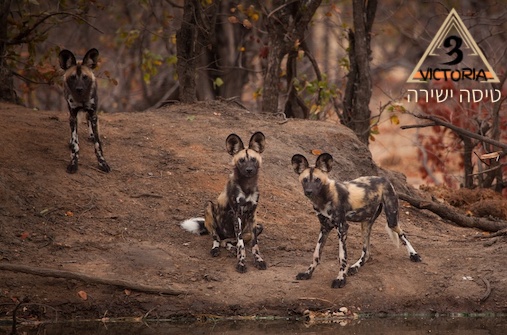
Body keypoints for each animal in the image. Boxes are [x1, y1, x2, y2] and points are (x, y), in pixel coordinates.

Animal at [183, 133, 270, 274]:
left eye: (253, 159)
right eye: (241, 160)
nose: (249, 170)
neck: (247, 187)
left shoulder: (253, 216)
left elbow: (254, 245)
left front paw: (258, 260)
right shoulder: (236, 214)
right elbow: (241, 245)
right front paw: (241, 263)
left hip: (256, 227)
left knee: (227, 242)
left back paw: (232, 249)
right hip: (209, 207)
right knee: (217, 239)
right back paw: (216, 249)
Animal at [292, 154, 422, 288]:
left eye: (317, 180)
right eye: (305, 180)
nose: (309, 191)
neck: (323, 199)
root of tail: (383, 178)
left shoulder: (342, 227)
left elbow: (342, 257)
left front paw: (340, 279)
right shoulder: (324, 228)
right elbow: (316, 254)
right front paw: (307, 273)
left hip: (391, 219)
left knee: (402, 233)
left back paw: (414, 255)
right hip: (365, 224)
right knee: (366, 252)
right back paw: (355, 267)